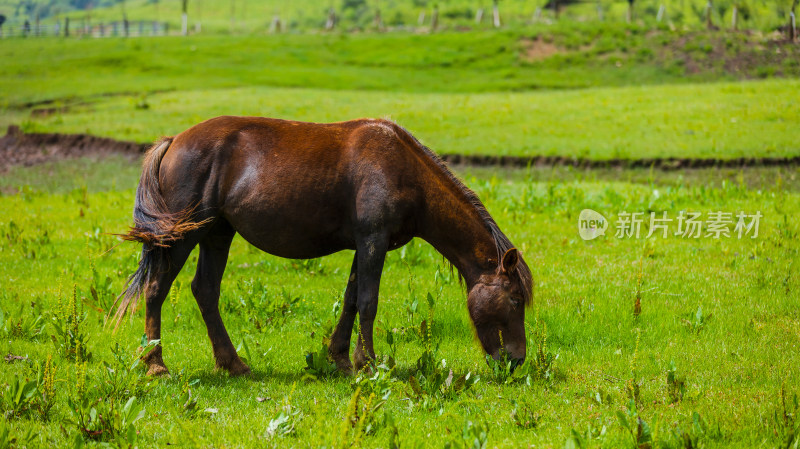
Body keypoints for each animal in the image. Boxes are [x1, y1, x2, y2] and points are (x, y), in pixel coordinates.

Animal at [115, 114, 532, 374]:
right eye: (514, 299)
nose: (516, 360)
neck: (402, 168)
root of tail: (173, 143)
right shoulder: (373, 240)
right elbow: (368, 301)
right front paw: (369, 363)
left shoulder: (365, 244)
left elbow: (350, 299)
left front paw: (341, 359)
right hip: (182, 237)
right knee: (156, 289)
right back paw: (156, 364)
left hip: (217, 233)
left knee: (205, 290)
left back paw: (232, 363)